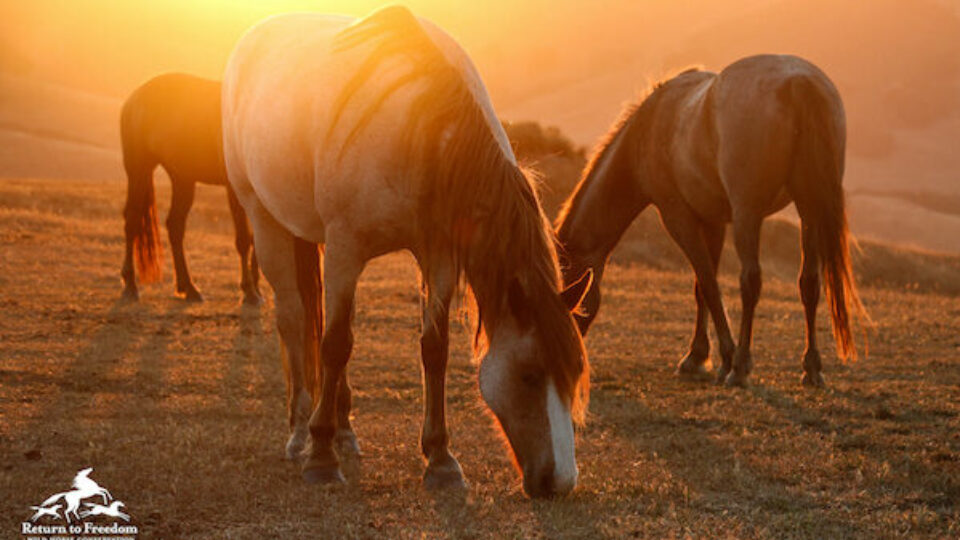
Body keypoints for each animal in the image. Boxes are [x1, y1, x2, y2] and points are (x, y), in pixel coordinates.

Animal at [120, 73, 261, 305]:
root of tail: (134, 98)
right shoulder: (234, 189)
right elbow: (243, 238)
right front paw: (249, 291)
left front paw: (256, 287)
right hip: (139, 169)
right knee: (132, 220)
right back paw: (130, 284)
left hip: (182, 179)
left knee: (175, 226)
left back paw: (189, 288)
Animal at [222, 7, 592, 497]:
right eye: (529, 374)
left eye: (575, 375)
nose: (561, 482)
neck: (425, 129)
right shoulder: (345, 249)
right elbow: (334, 344)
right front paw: (321, 456)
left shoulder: (436, 256)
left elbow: (432, 347)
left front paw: (440, 460)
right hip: (265, 219)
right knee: (294, 319)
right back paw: (301, 430)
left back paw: (344, 429)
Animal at [556, 55, 866, 387]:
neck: (647, 129)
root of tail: (799, 81)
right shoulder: (713, 221)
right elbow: (701, 288)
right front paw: (697, 356)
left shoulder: (678, 217)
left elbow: (708, 283)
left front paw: (724, 358)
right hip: (809, 209)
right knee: (809, 282)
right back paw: (811, 367)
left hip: (748, 214)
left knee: (750, 281)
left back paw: (740, 366)